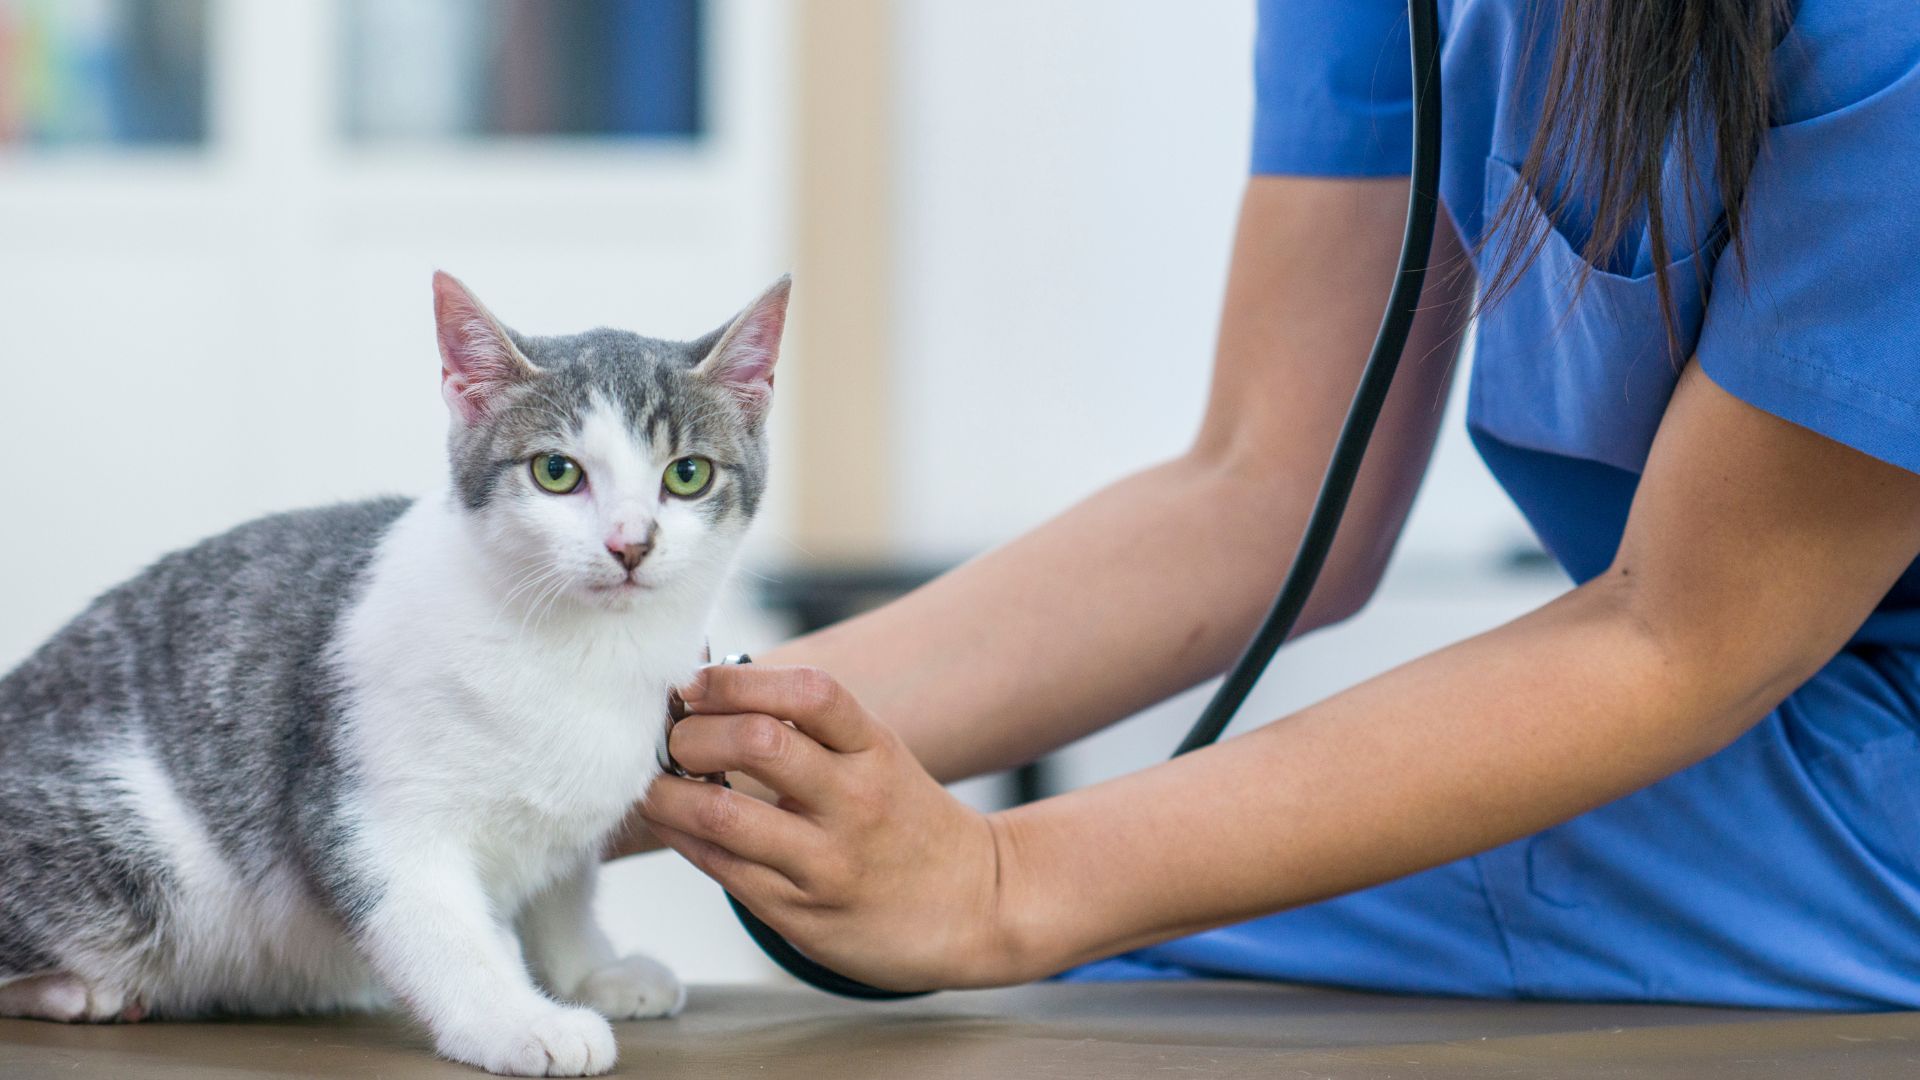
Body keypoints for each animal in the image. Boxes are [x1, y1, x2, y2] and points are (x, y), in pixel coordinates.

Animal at [0, 267, 787, 1068]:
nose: (630, 543)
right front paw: (518, 1019)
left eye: (686, 475)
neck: (579, 650)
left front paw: (588, 970)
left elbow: (563, 889)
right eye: (556, 471)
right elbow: (435, 926)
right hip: (134, 856)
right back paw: (75, 991)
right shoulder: (367, 810)